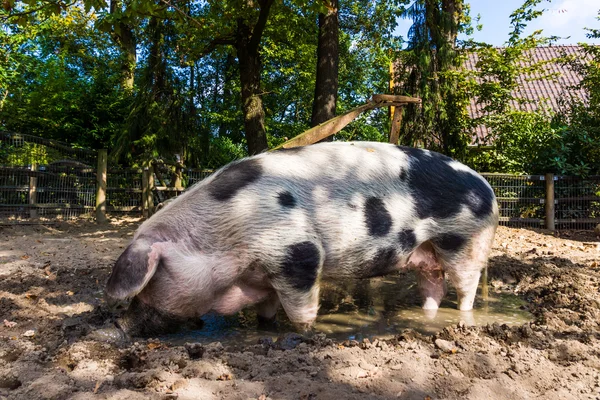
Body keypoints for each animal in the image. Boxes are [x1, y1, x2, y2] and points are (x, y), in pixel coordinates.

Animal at [105, 141, 500, 334]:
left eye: (150, 280)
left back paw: (462, 319)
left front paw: (305, 335)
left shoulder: (298, 255)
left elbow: (302, 310)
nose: (115, 327)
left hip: (465, 240)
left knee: (464, 286)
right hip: (426, 252)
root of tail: (489, 188)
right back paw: (427, 315)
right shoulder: (262, 276)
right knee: (434, 286)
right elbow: (266, 311)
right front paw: (266, 329)